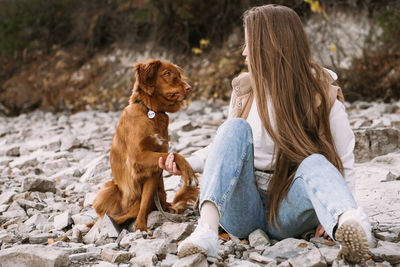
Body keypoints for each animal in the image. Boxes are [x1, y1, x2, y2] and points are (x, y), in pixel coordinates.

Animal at [94, 59, 200, 231]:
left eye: (178, 74)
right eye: (167, 74)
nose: (189, 88)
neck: (151, 112)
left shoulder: (154, 170)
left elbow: (145, 201)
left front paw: (141, 227)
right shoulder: (136, 159)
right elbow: (176, 154)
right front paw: (190, 175)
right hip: (107, 189)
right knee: (113, 215)